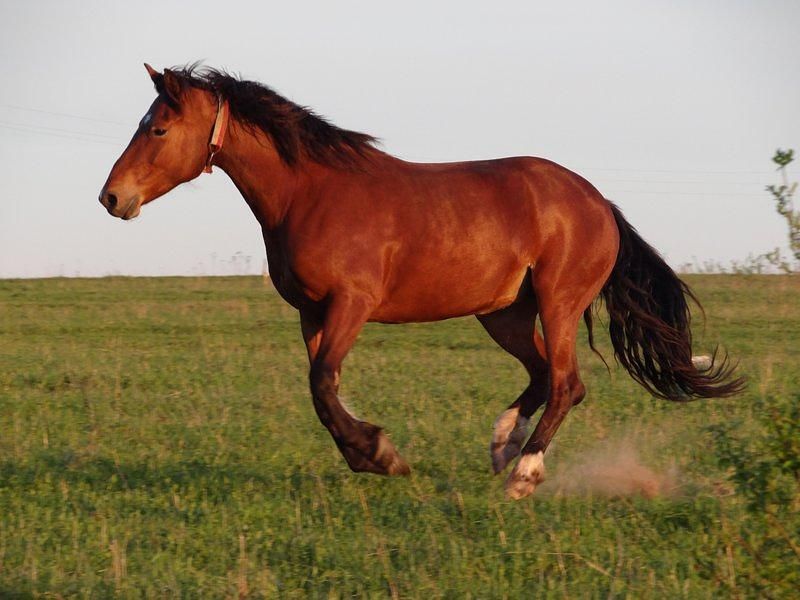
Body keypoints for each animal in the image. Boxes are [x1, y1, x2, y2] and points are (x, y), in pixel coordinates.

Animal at [98, 63, 744, 500]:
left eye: (157, 129)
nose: (111, 198)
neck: (309, 193)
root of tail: (598, 202)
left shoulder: (350, 304)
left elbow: (323, 384)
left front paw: (381, 454)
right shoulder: (311, 313)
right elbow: (323, 392)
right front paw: (371, 453)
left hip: (557, 302)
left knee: (566, 383)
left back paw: (523, 475)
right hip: (504, 312)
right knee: (544, 375)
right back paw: (502, 443)